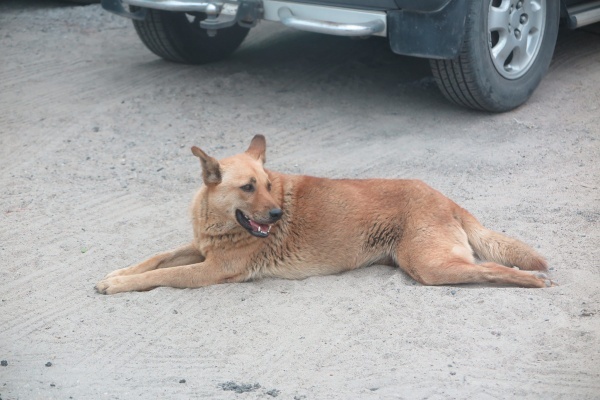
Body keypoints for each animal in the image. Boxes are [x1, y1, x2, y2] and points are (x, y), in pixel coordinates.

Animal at [97, 134, 552, 294]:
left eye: (268, 183)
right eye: (248, 187)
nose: (277, 214)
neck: (218, 221)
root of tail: (445, 198)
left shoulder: (211, 269)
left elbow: (163, 274)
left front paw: (119, 285)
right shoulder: (201, 249)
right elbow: (156, 259)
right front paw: (117, 273)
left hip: (430, 266)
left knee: (492, 270)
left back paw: (530, 281)